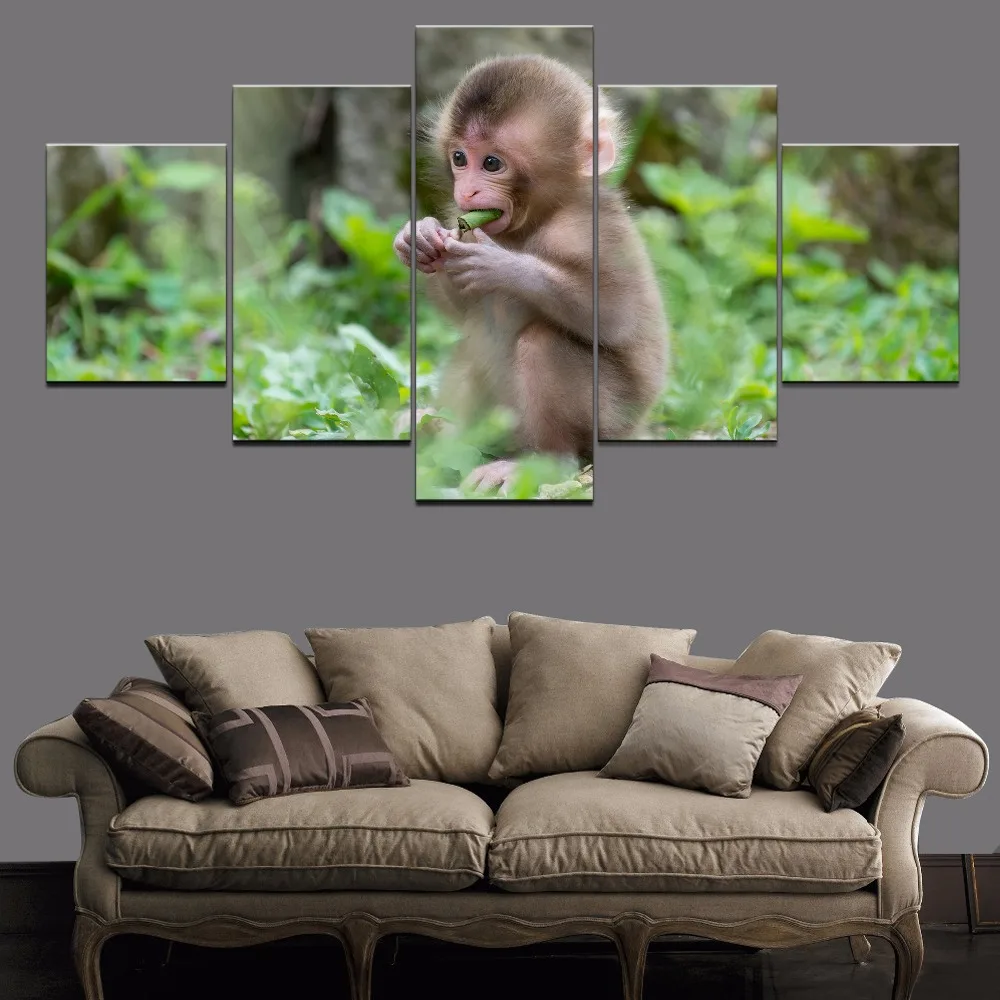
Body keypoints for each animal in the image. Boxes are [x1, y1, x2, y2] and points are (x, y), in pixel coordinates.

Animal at [394, 54, 668, 491]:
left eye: (492, 163)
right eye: (459, 158)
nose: (466, 191)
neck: (540, 216)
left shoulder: (590, 228)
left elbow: (615, 313)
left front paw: (502, 266)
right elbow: (463, 305)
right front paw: (418, 237)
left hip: (611, 421)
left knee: (542, 343)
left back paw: (543, 463)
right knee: (473, 343)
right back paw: (437, 432)